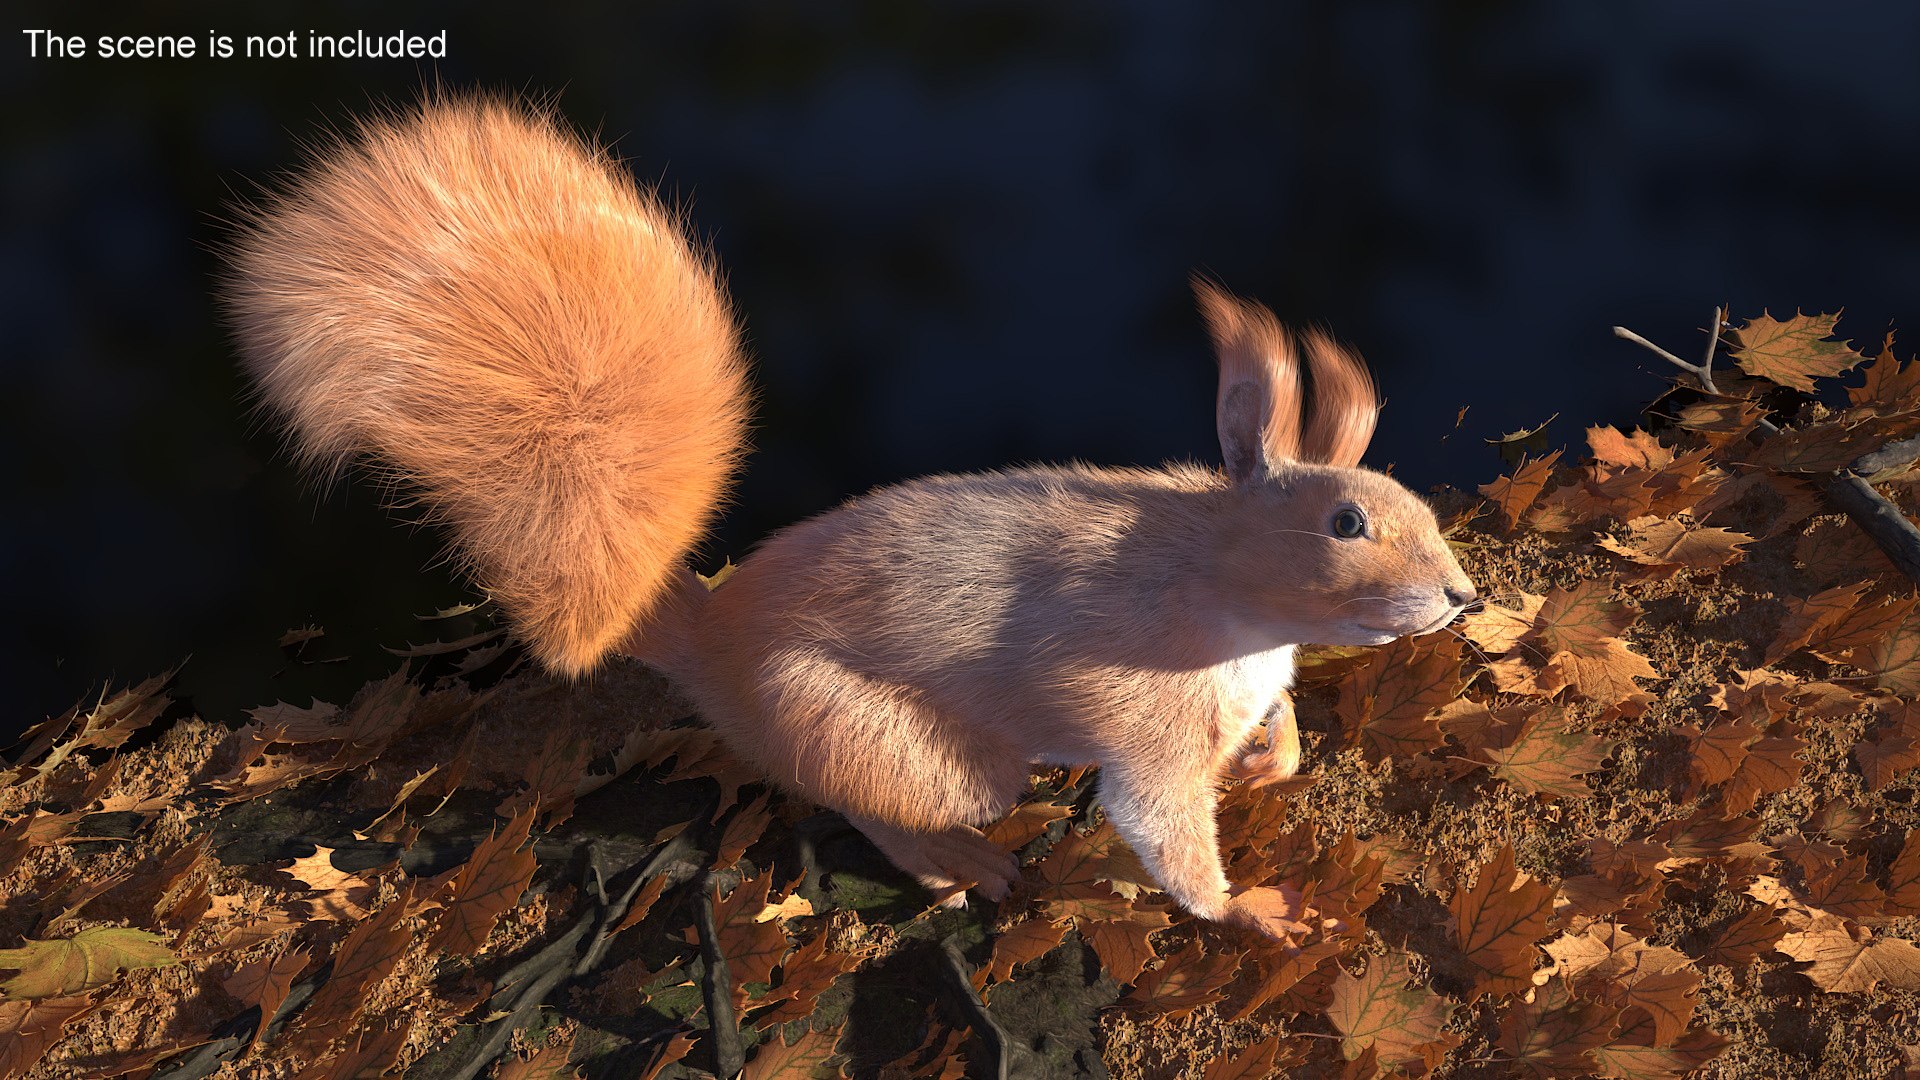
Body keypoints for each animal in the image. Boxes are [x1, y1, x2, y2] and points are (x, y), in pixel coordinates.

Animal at [227, 97, 1477, 939]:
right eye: (1346, 523)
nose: (1465, 596)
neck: (1219, 585)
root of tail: (714, 644)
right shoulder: (1140, 719)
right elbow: (1163, 836)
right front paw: (1251, 909)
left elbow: (1276, 727)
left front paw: (1274, 756)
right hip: (906, 744)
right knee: (867, 807)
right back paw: (963, 865)